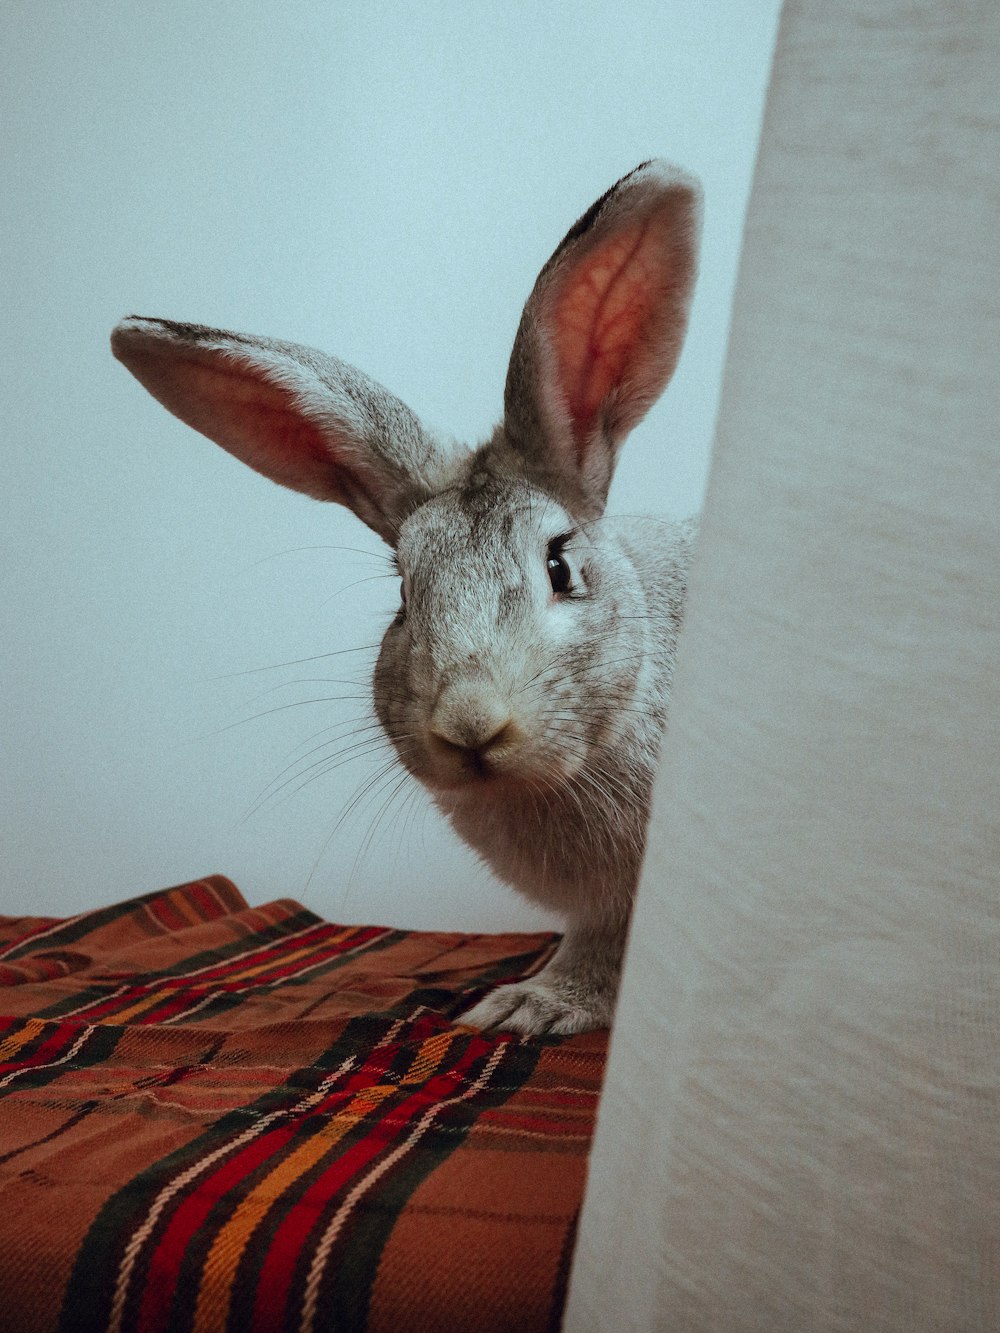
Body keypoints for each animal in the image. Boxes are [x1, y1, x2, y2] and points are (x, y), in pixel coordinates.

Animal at [109, 158, 704, 1039]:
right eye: (403, 590)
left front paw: (534, 1009)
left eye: (560, 567)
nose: (469, 723)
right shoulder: (605, 909)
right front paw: (527, 1004)